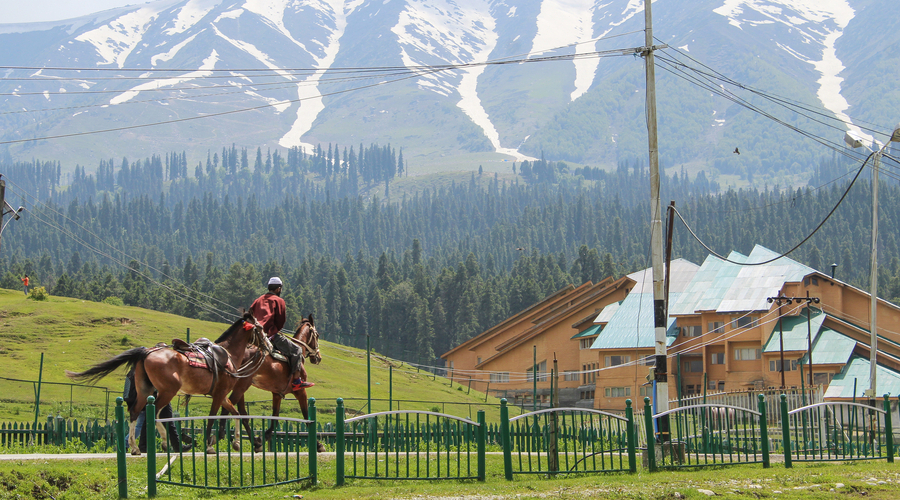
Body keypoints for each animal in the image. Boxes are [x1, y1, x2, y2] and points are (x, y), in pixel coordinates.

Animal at [65, 314, 268, 456]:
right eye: (260, 329)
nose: (268, 345)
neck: (227, 355)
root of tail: (146, 352)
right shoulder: (219, 394)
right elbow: (214, 418)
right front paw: (210, 445)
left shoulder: (223, 395)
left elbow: (237, 414)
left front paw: (238, 442)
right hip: (167, 391)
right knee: (154, 413)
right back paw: (162, 443)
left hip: (145, 390)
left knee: (136, 412)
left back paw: (136, 448)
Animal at [225, 314, 324, 452]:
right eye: (317, 335)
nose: (318, 357)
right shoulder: (300, 391)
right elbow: (306, 417)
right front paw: (319, 445)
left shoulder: (277, 394)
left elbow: (275, 419)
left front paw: (264, 437)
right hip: (242, 386)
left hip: (240, 387)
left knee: (241, 413)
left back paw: (253, 442)